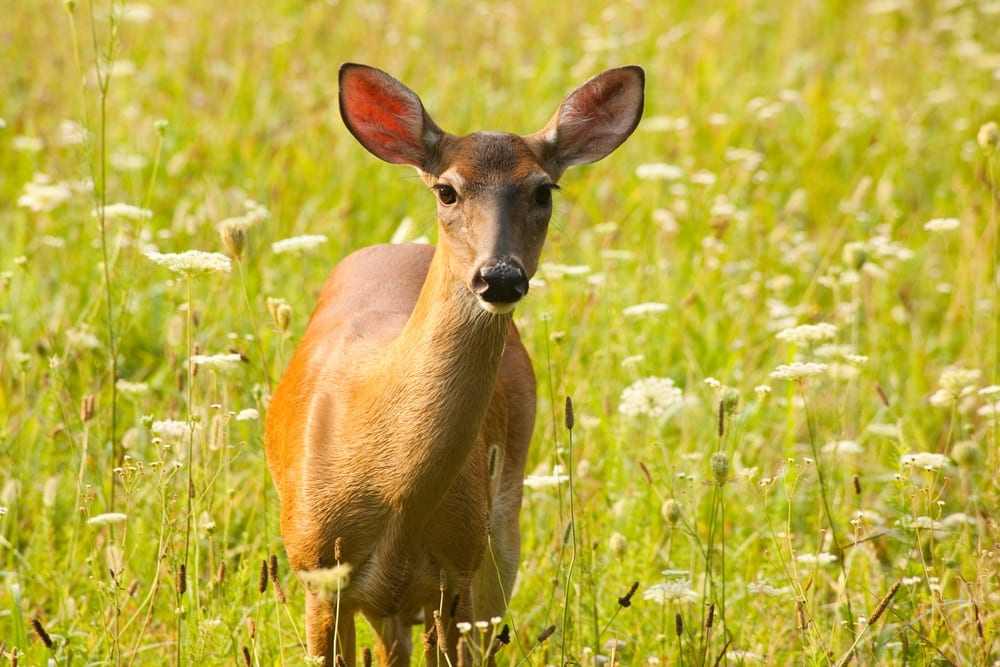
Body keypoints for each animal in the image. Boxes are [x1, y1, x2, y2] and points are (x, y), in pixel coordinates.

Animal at [262, 61, 644, 664]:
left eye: (544, 190)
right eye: (447, 190)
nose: (501, 276)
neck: (392, 489)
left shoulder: (456, 571)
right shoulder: (314, 566)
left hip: (498, 537)